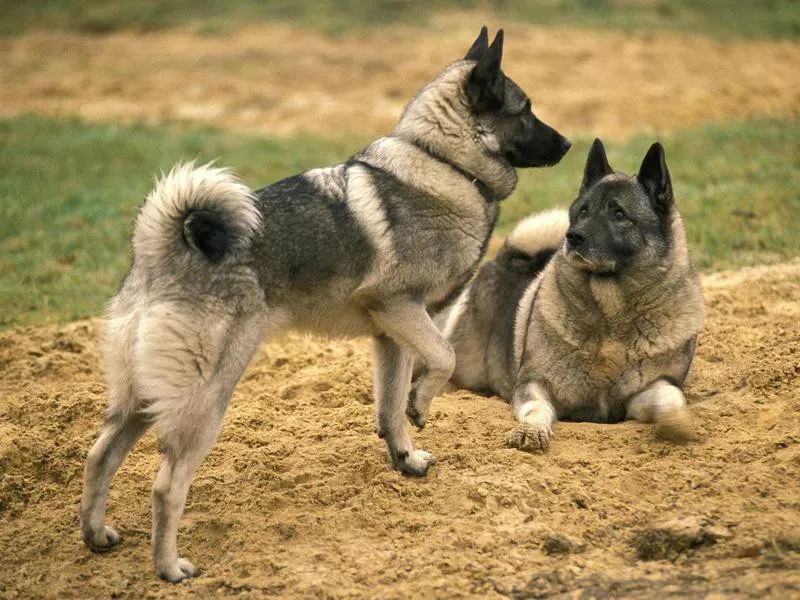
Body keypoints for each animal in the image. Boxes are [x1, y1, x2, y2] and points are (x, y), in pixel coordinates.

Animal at [79, 27, 568, 580]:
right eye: (525, 109)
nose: (568, 144)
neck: (443, 162)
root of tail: (158, 250)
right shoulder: (402, 308)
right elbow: (441, 360)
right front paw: (422, 405)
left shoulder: (390, 335)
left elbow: (389, 409)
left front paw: (405, 458)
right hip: (205, 397)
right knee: (166, 486)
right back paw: (170, 567)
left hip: (142, 397)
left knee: (99, 457)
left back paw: (96, 535)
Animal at [434, 139, 704, 450]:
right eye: (583, 211)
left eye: (619, 214)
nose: (573, 236)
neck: (611, 315)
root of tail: (506, 258)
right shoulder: (535, 384)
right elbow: (536, 408)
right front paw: (531, 431)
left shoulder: (645, 392)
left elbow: (671, 397)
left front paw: (677, 423)